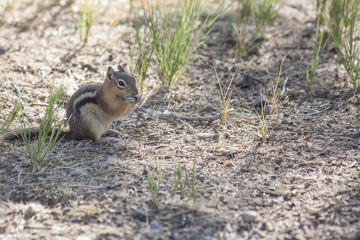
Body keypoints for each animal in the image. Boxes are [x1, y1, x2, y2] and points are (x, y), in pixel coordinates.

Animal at [2, 64, 141, 142]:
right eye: (121, 83)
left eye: (134, 78)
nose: (136, 91)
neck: (109, 91)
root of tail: (74, 133)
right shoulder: (105, 101)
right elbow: (115, 110)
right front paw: (129, 100)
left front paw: (138, 98)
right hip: (91, 124)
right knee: (93, 139)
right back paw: (107, 139)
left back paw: (111, 132)